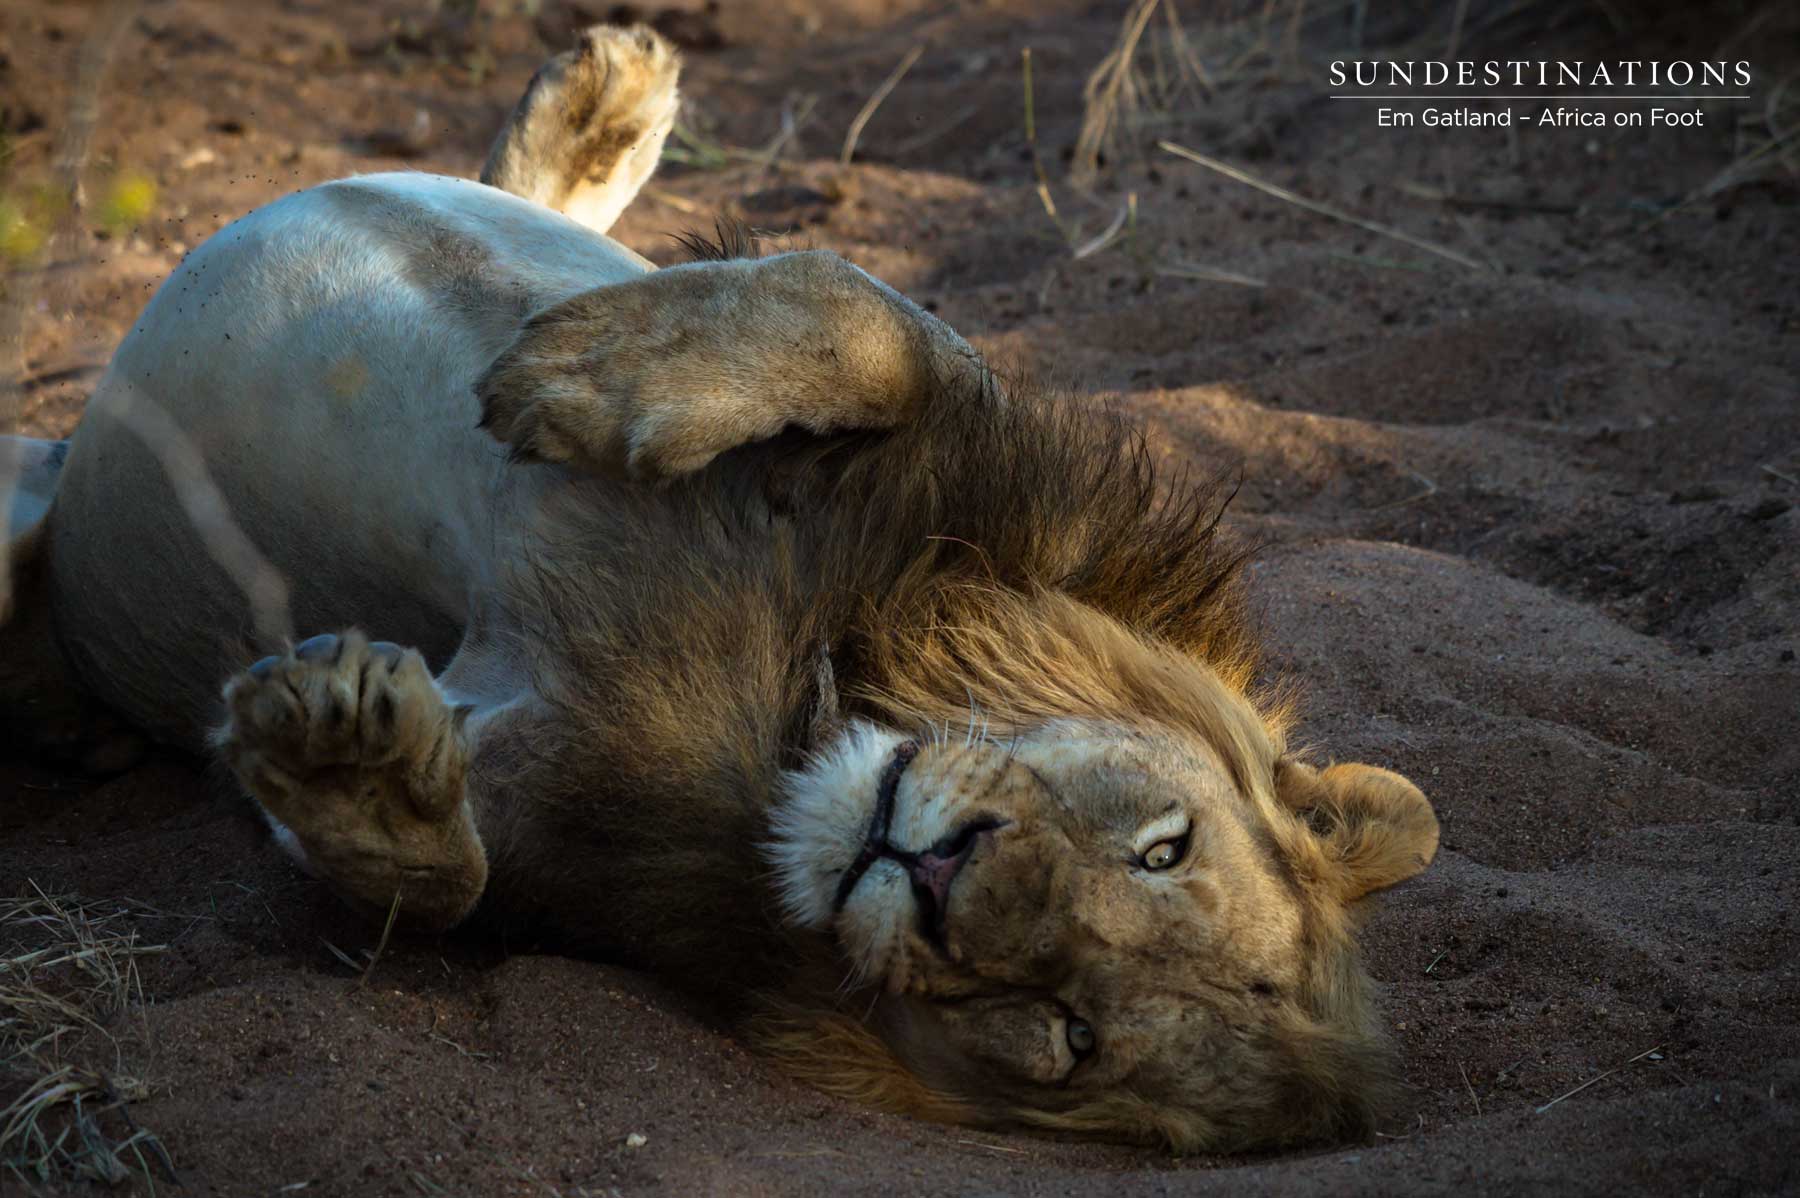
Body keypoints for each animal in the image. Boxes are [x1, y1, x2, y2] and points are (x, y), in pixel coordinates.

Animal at [0, 25, 1438, 1151]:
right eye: (1162, 846)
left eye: (1071, 1030)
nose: (938, 872)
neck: (802, 716)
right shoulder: (963, 448)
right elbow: (879, 321)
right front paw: (592, 371)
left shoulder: (546, 810)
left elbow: (440, 876)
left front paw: (349, 758)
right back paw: (606, 102)